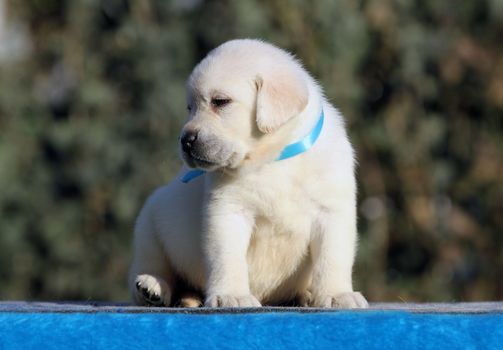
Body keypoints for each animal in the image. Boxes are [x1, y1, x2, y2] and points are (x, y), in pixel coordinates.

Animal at [128, 38, 368, 308]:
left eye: (220, 102)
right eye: (190, 107)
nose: (186, 140)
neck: (274, 158)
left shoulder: (331, 211)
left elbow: (332, 259)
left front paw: (337, 294)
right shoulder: (228, 211)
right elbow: (227, 257)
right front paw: (231, 294)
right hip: (149, 227)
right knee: (152, 269)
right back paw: (153, 287)